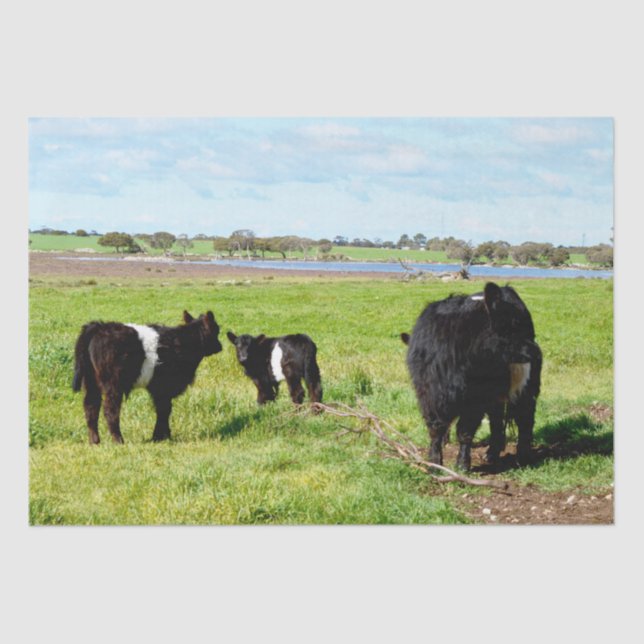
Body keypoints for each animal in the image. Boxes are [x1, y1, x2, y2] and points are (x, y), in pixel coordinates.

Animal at [72, 310, 223, 444]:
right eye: (216, 330)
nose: (220, 346)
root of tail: (98, 327)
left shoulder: (158, 390)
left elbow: (162, 410)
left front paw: (162, 436)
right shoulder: (164, 387)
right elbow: (164, 410)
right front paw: (161, 436)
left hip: (90, 382)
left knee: (91, 407)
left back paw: (94, 441)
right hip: (113, 384)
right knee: (110, 410)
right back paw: (118, 440)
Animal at [403, 282, 541, 470]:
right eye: (514, 323)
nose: (536, 352)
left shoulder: (475, 400)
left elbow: (465, 431)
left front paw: (462, 464)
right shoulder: (429, 394)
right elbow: (436, 429)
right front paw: (434, 463)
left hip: (526, 388)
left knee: (525, 418)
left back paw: (523, 456)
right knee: (497, 419)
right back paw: (492, 454)